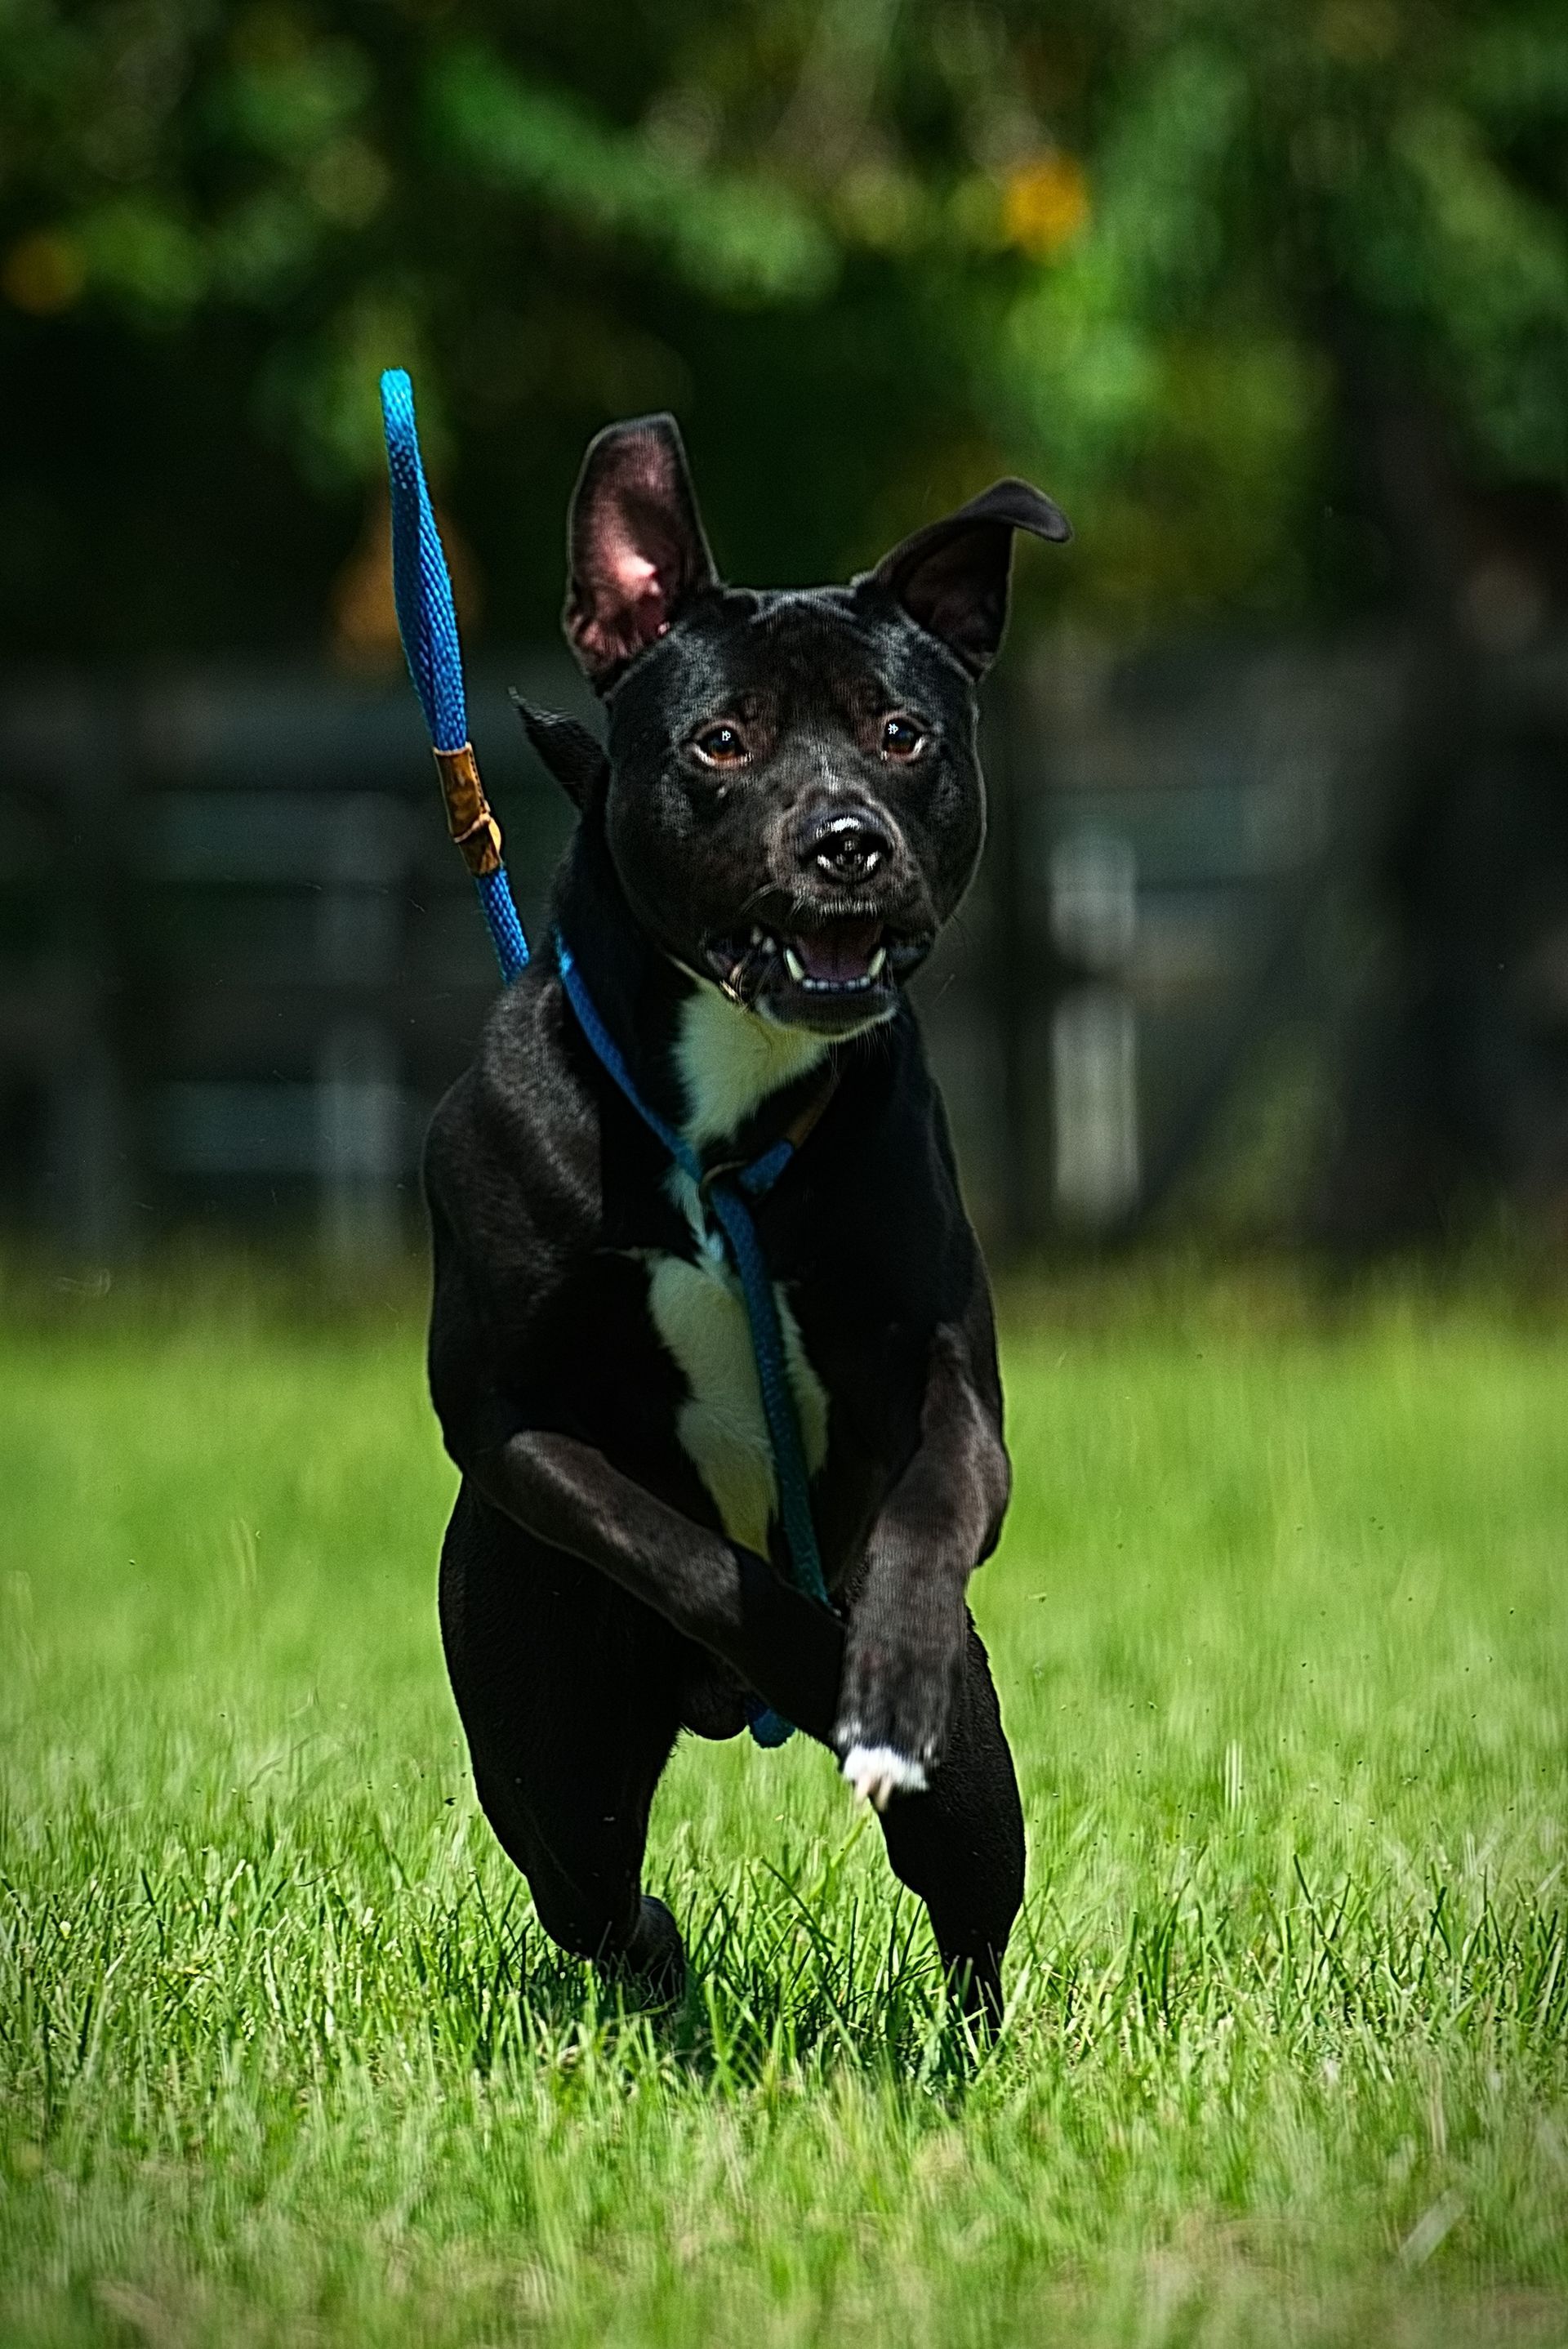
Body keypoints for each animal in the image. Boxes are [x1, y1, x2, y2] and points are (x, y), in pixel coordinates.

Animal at [429, 417, 1065, 2020]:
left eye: (904, 735)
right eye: (722, 741)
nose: (845, 840)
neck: (724, 1113)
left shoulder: (950, 1382)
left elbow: (929, 1511)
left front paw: (880, 1670)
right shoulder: (513, 1427)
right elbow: (680, 1549)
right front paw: (810, 1656)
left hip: (978, 1804)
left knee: (972, 1907)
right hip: (544, 1748)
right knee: (597, 1894)